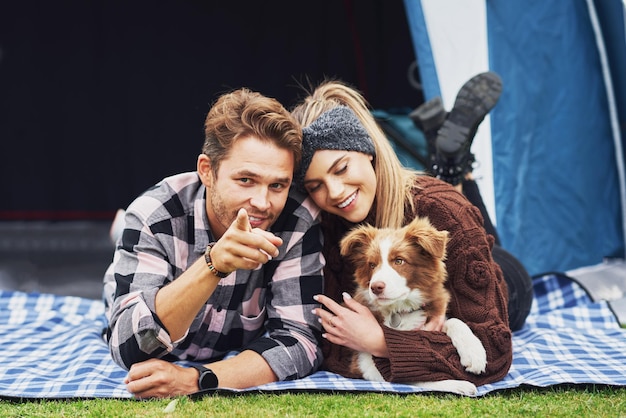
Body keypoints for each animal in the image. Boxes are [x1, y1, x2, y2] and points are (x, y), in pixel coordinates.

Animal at [338, 216, 486, 396]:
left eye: (399, 260)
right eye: (372, 265)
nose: (375, 287)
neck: (399, 310)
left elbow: (455, 321)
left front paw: (474, 354)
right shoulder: (363, 362)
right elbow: (413, 375)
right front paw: (458, 385)